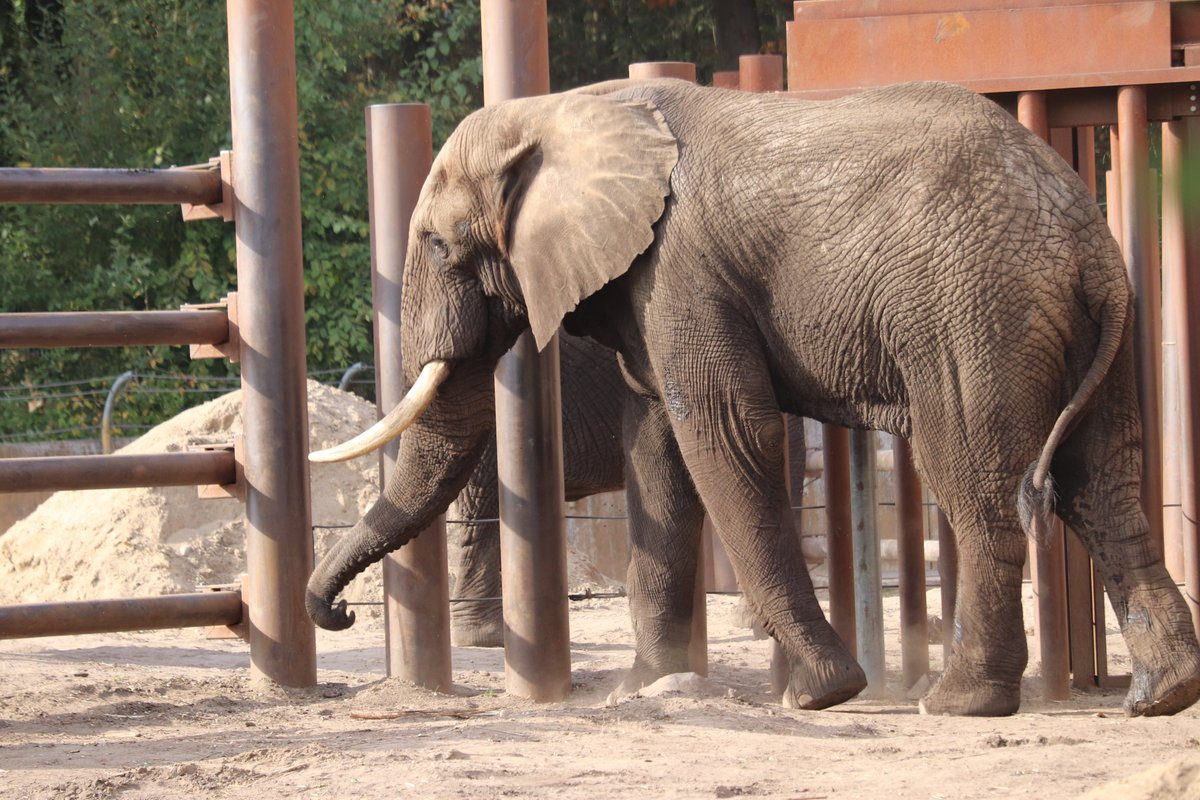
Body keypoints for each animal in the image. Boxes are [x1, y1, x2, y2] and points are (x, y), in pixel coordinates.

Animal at [314, 77, 1200, 714]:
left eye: (438, 244)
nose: (338, 614)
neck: (565, 111)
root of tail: (1085, 235)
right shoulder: (648, 287)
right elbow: (660, 456)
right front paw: (646, 687)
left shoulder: (681, 267)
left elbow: (726, 437)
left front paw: (820, 693)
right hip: (1082, 324)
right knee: (1104, 483)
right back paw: (1162, 696)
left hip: (975, 311)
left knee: (979, 486)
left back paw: (956, 704)